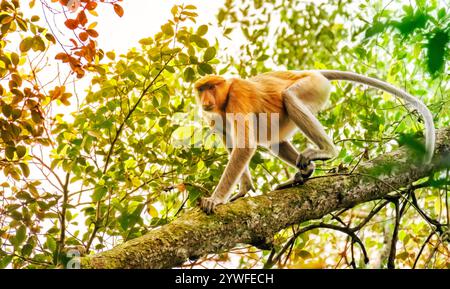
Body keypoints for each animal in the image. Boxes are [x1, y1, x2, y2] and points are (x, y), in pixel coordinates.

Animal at [194, 70, 436, 212]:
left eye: (211, 87)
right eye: (201, 90)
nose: (205, 101)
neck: (225, 97)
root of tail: (311, 72)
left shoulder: (238, 95)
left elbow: (244, 146)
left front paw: (215, 199)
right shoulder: (213, 116)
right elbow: (234, 144)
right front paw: (242, 190)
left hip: (313, 85)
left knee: (290, 97)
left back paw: (326, 151)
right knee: (273, 140)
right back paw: (304, 172)